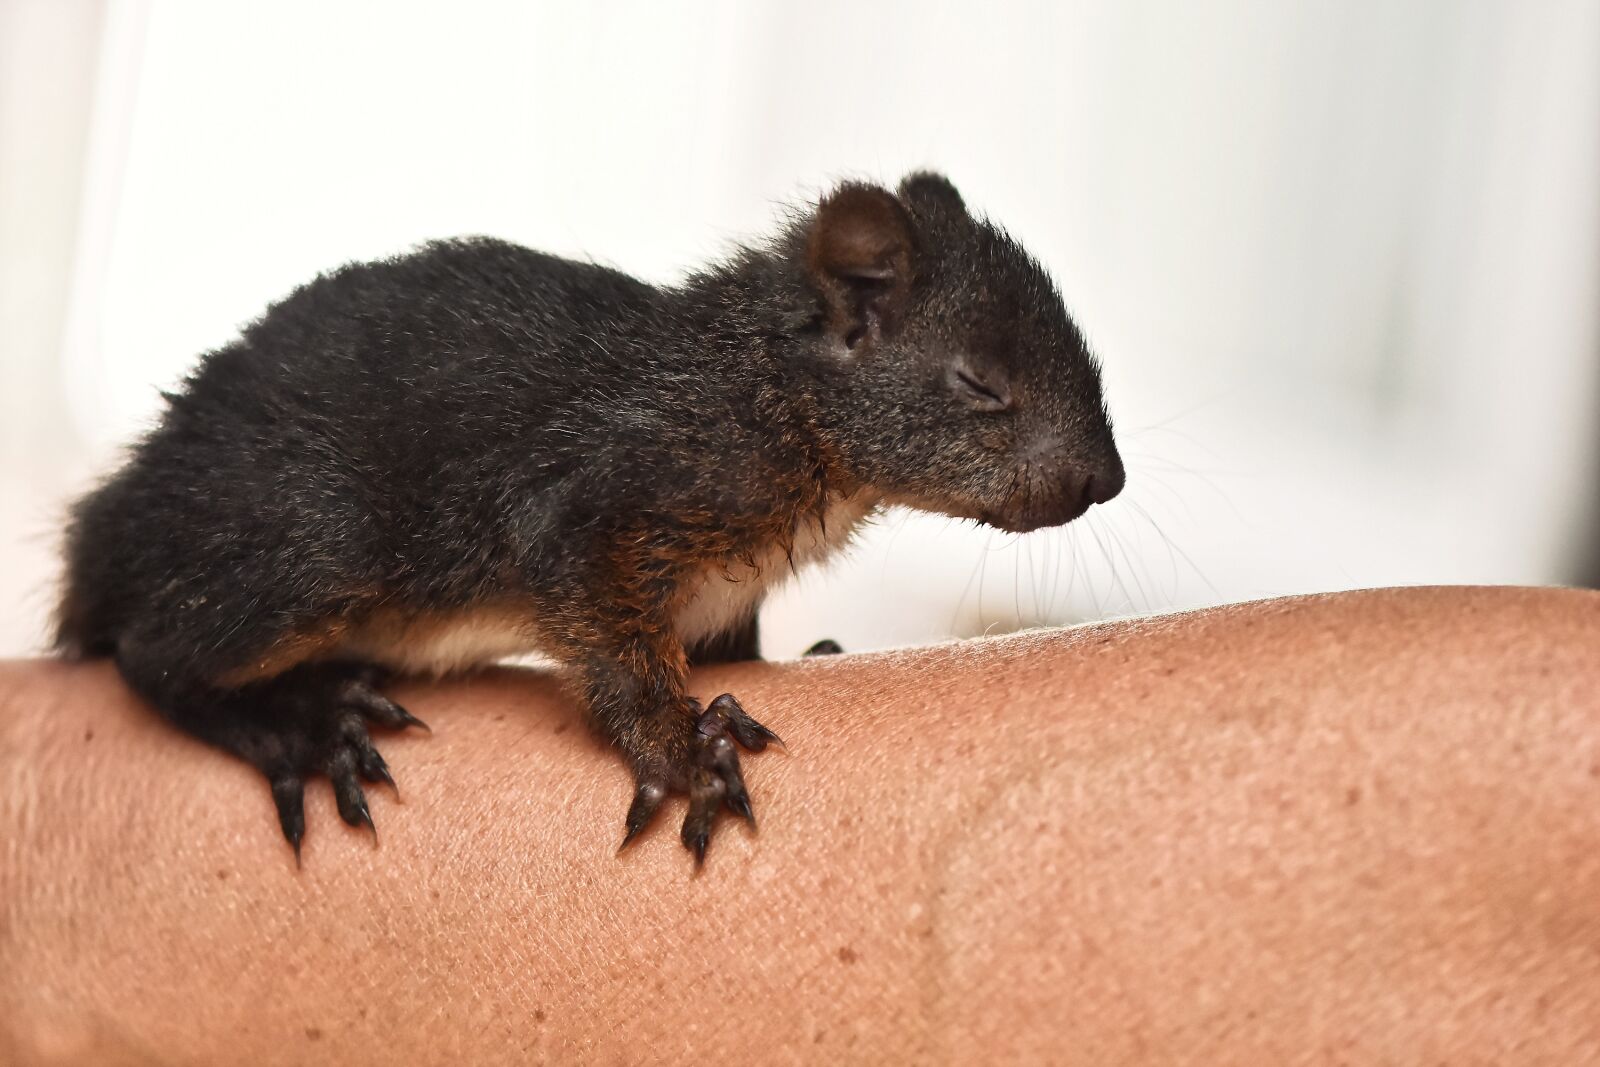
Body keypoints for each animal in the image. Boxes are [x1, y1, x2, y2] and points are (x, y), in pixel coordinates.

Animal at [56, 172, 1124, 866]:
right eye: (981, 384)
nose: (1106, 479)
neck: (770, 392)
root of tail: (114, 519)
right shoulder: (603, 494)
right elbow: (601, 626)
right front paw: (683, 749)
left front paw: (797, 655)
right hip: (311, 545)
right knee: (154, 652)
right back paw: (294, 723)